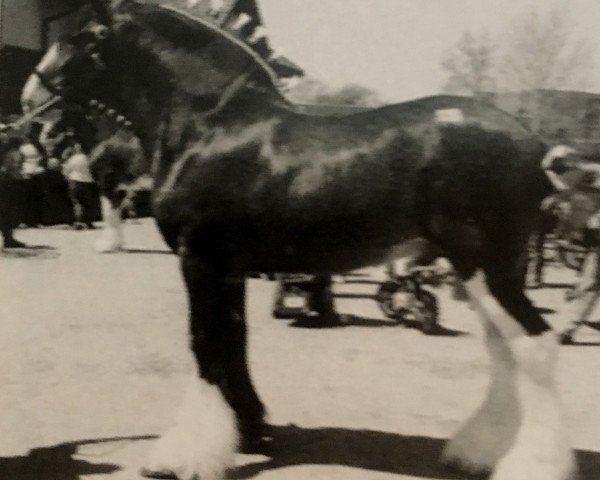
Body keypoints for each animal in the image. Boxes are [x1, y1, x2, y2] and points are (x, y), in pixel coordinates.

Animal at [19, 0, 576, 480]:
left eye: (84, 36)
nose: (29, 100)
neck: (211, 125)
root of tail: (539, 147)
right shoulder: (229, 268)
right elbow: (234, 343)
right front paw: (247, 429)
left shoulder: (199, 259)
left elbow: (205, 344)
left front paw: (183, 456)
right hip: (483, 268)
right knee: (506, 350)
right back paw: (479, 452)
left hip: (485, 263)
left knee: (534, 345)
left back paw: (531, 465)